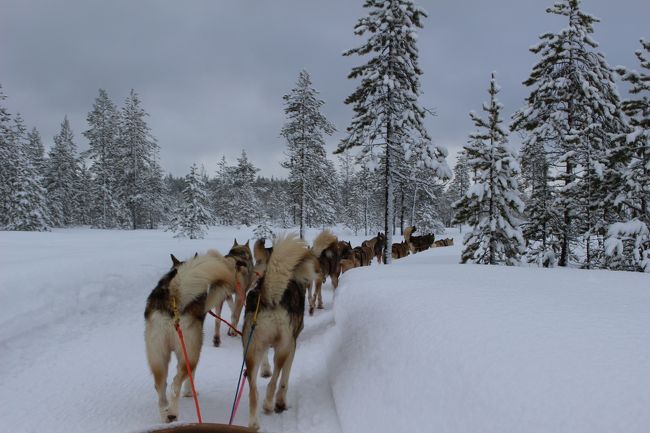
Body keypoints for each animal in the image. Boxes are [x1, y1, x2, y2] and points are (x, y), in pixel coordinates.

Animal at [144, 250, 240, 422]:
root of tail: (174, 296)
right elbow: (190, 378)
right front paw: (190, 393)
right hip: (191, 353)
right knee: (175, 384)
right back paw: (173, 412)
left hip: (158, 356)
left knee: (161, 388)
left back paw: (165, 415)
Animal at [240, 233, 316, 428]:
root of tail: (267, 296)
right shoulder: (292, 346)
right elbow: (284, 381)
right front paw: (281, 402)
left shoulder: (265, 347)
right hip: (283, 348)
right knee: (273, 382)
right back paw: (269, 404)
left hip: (250, 352)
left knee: (253, 391)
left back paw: (254, 423)